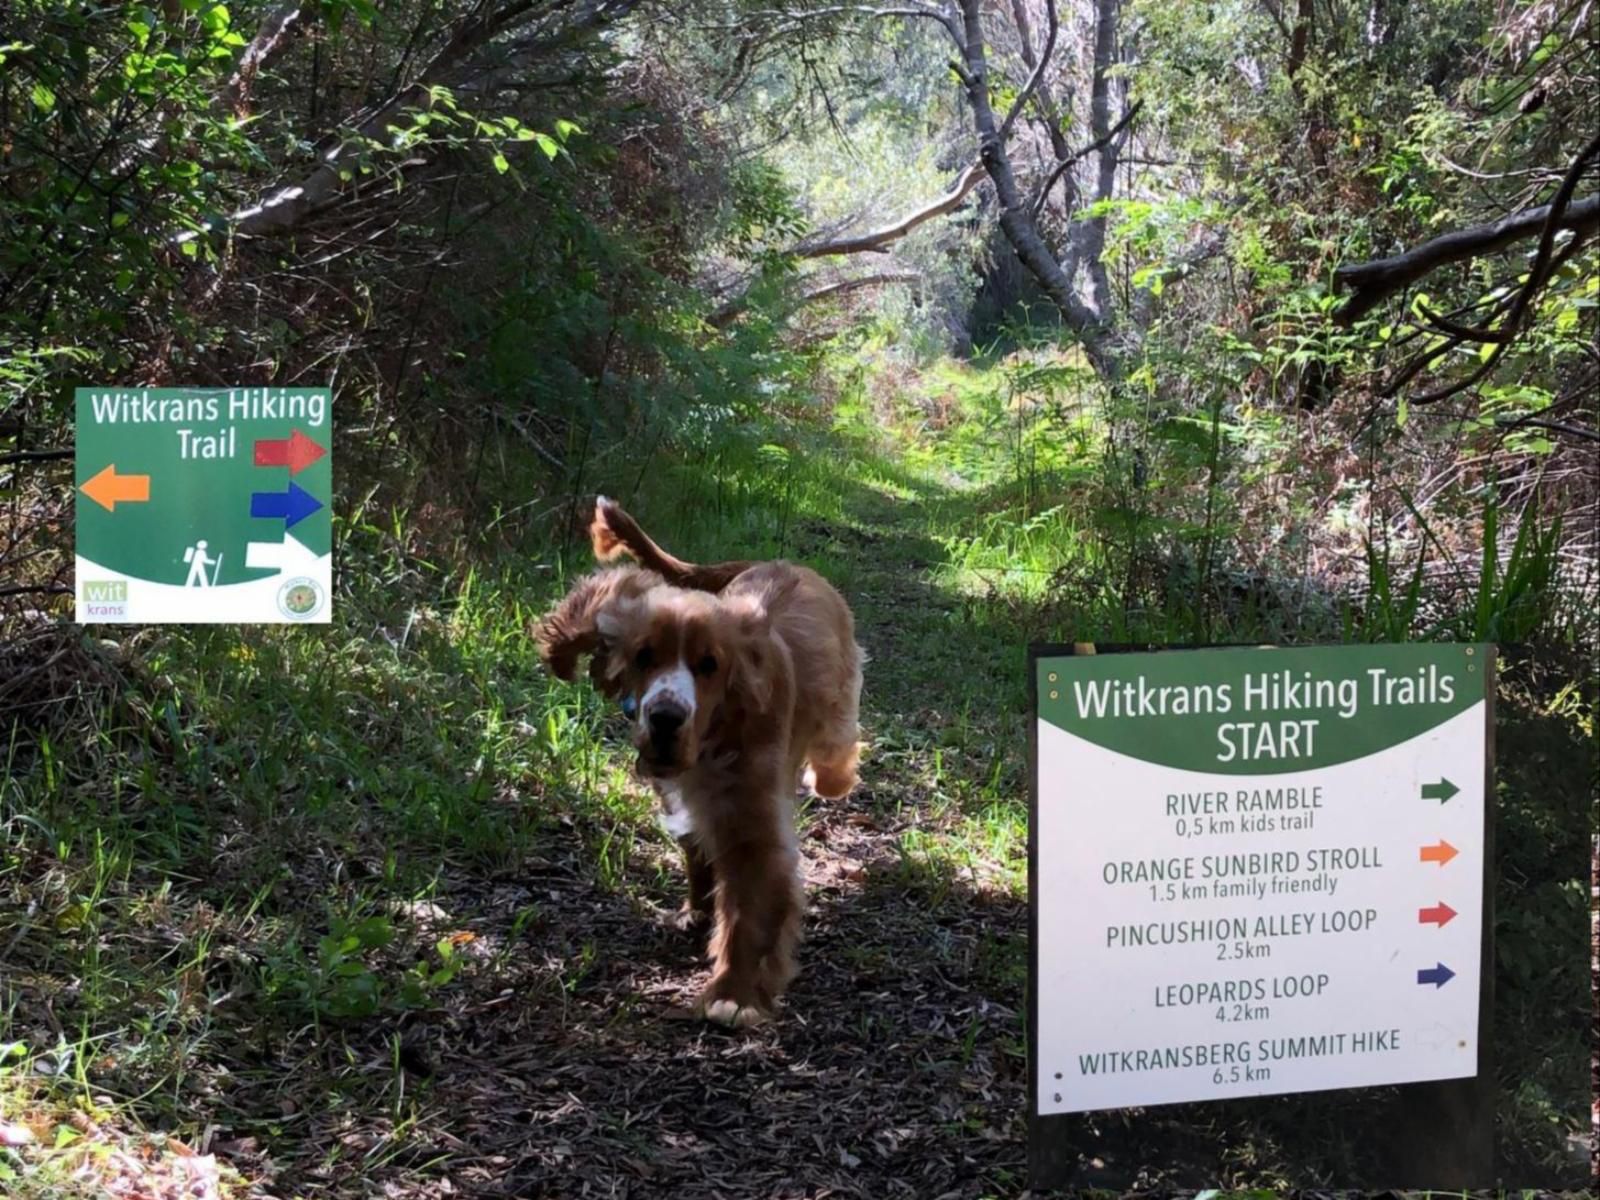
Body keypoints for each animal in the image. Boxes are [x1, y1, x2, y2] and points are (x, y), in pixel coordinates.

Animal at [534, 499, 864, 1024]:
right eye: (644, 656)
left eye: (709, 665)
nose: (665, 718)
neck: (716, 735)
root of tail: (783, 562)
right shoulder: (683, 801)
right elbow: (699, 855)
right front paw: (698, 914)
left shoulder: (752, 826)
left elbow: (751, 912)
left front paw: (734, 994)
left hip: (838, 707)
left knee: (837, 748)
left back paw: (831, 780)